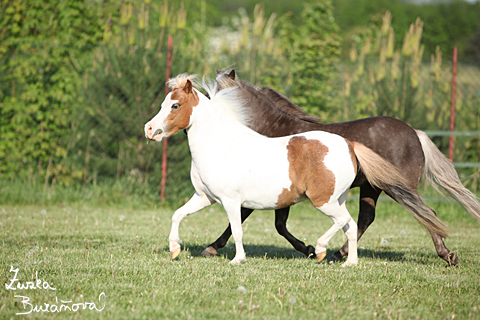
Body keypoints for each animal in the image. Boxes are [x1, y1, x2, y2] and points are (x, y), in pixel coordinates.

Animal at [144, 74, 444, 264]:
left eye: (175, 105)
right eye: (162, 103)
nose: (150, 129)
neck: (222, 145)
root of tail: (350, 145)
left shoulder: (233, 200)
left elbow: (237, 229)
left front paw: (236, 259)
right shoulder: (205, 197)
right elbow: (177, 215)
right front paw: (175, 249)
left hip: (328, 200)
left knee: (352, 221)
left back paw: (323, 251)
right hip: (345, 196)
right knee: (354, 223)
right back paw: (347, 261)